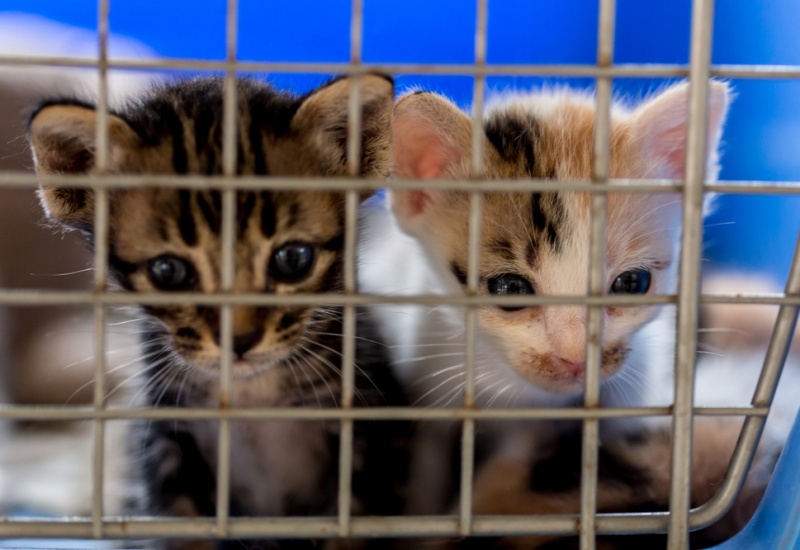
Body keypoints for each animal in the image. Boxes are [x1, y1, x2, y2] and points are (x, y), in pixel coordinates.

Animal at [27, 74, 409, 549]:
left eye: (293, 259)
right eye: (168, 271)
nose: (239, 340)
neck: (251, 393)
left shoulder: (369, 436)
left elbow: (351, 526)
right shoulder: (168, 446)